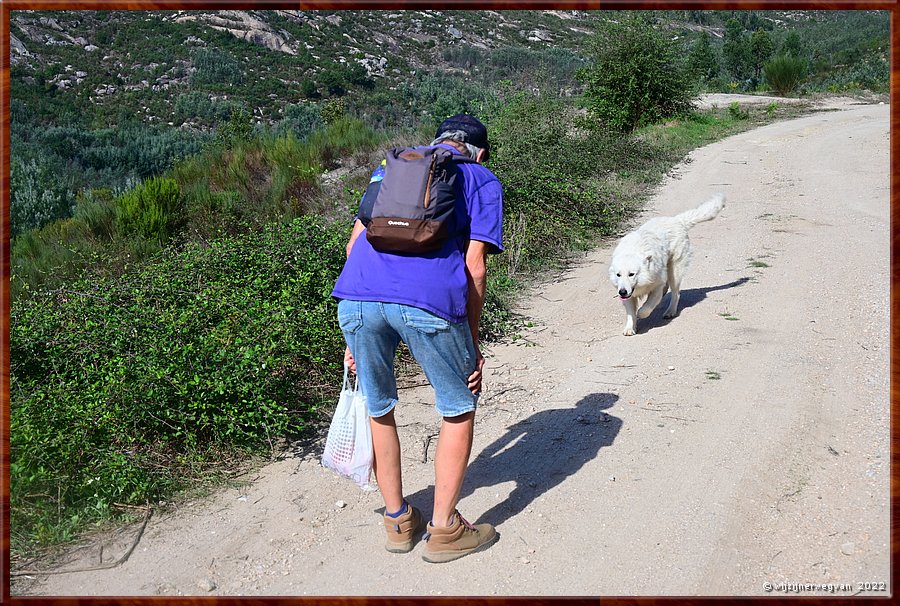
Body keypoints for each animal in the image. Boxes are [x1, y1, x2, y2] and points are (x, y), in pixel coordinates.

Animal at [608, 195, 728, 338]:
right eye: (618, 275)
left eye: (631, 274)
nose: (622, 292)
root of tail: (677, 220)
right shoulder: (628, 294)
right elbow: (631, 312)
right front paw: (629, 328)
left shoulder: (655, 286)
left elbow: (647, 306)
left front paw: (641, 313)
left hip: (674, 271)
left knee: (676, 293)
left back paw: (670, 311)